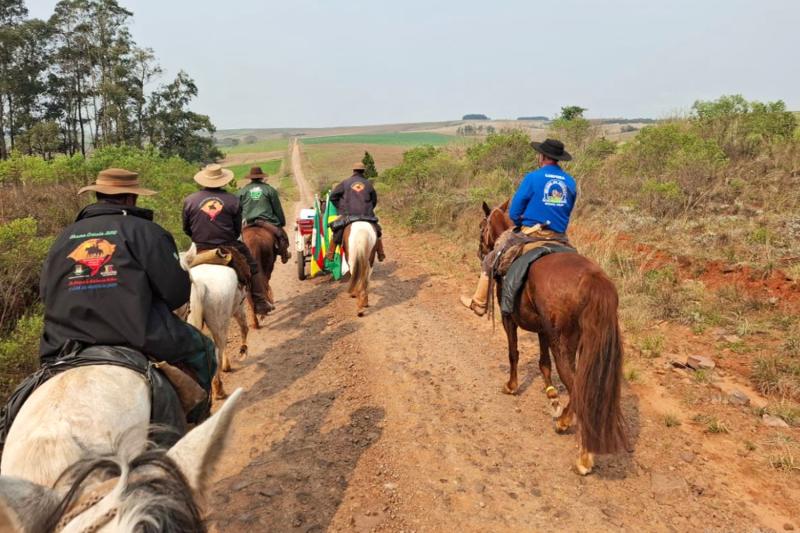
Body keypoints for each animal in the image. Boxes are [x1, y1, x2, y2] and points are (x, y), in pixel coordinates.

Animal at [182, 245, 250, 400]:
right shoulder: (238, 308)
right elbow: (244, 327)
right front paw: (242, 350)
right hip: (220, 320)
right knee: (218, 350)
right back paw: (219, 390)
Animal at [478, 201, 628, 474]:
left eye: (481, 226)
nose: (480, 251)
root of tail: (594, 280)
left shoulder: (508, 318)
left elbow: (513, 353)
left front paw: (511, 386)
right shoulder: (543, 328)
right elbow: (543, 362)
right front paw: (550, 392)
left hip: (564, 344)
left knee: (578, 387)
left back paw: (579, 448)